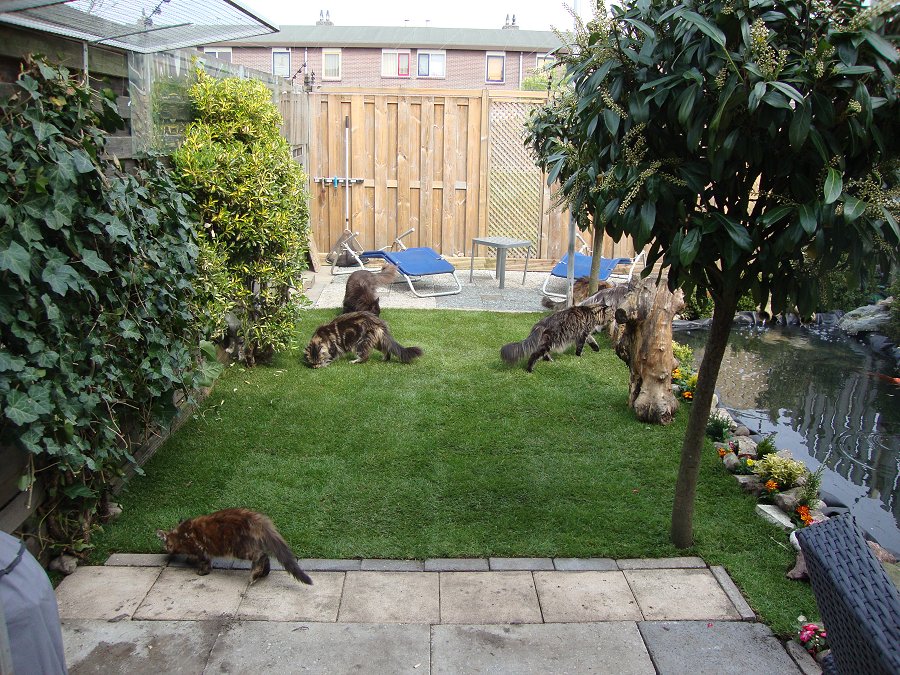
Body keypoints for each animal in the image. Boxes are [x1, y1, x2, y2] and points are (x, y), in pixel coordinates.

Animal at [158, 508, 316, 588]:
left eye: (166, 545)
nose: (166, 550)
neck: (179, 534)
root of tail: (256, 518)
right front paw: (190, 559)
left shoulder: (201, 548)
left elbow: (204, 560)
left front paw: (202, 570)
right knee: (265, 557)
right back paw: (263, 573)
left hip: (237, 547)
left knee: (260, 555)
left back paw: (255, 574)